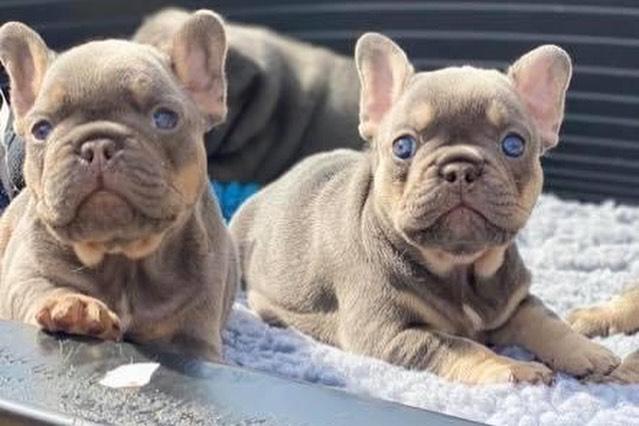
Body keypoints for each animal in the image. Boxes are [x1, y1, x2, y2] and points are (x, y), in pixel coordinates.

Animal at [0, 10, 238, 362]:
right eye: (41, 129)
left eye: (165, 118)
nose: (97, 145)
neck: (121, 258)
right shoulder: (27, 273)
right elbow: (39, 287)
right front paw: (74, 306)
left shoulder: (195, 335)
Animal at [230, 33, 620, 384]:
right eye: (403, 146)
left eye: (513, 144)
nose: (460, 168)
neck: (461, 269)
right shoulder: (393, 331)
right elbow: (461, 345)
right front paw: (514, 368)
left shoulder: (515, 301)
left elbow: (546, 319)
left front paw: (585, 349)